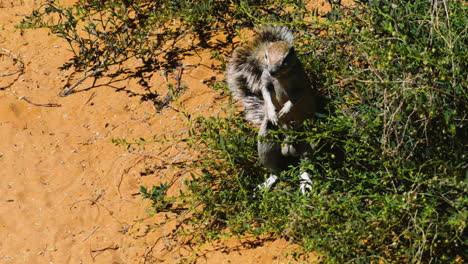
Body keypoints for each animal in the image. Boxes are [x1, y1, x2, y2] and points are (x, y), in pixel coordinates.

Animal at [227, 25, 318, 193]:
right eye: (266, 56)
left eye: (286, 58)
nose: (272, 71)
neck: (281, 77)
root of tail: (290, 145)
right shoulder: (265, 80)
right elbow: (265, 92)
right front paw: (272, 111)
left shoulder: (301, 82)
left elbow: (296, 97)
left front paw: (286, 109)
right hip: (266, 139)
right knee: (277, 170)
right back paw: (268, 181)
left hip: (310, 137)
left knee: (305, 162)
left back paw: (305, 181)